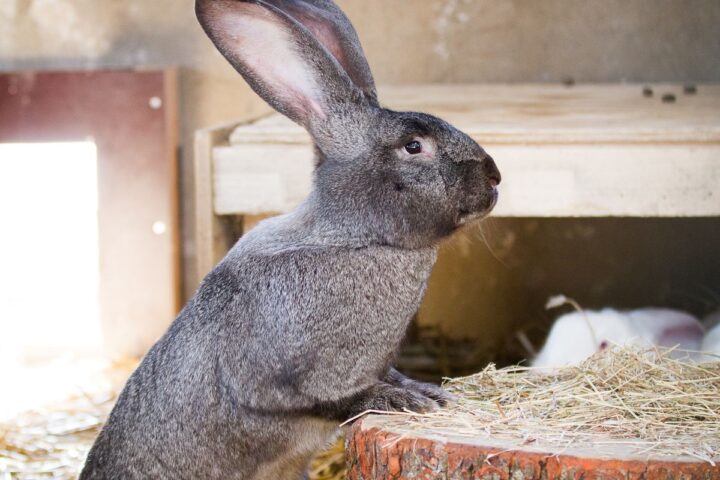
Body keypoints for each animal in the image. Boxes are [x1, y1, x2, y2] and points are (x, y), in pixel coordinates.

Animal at [80, 1, 500, 479]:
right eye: (414, 146)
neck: (353, 237)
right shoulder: (274, 375)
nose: (494, 177)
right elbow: (328, 399)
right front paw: (406, 400)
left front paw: (428, 391)